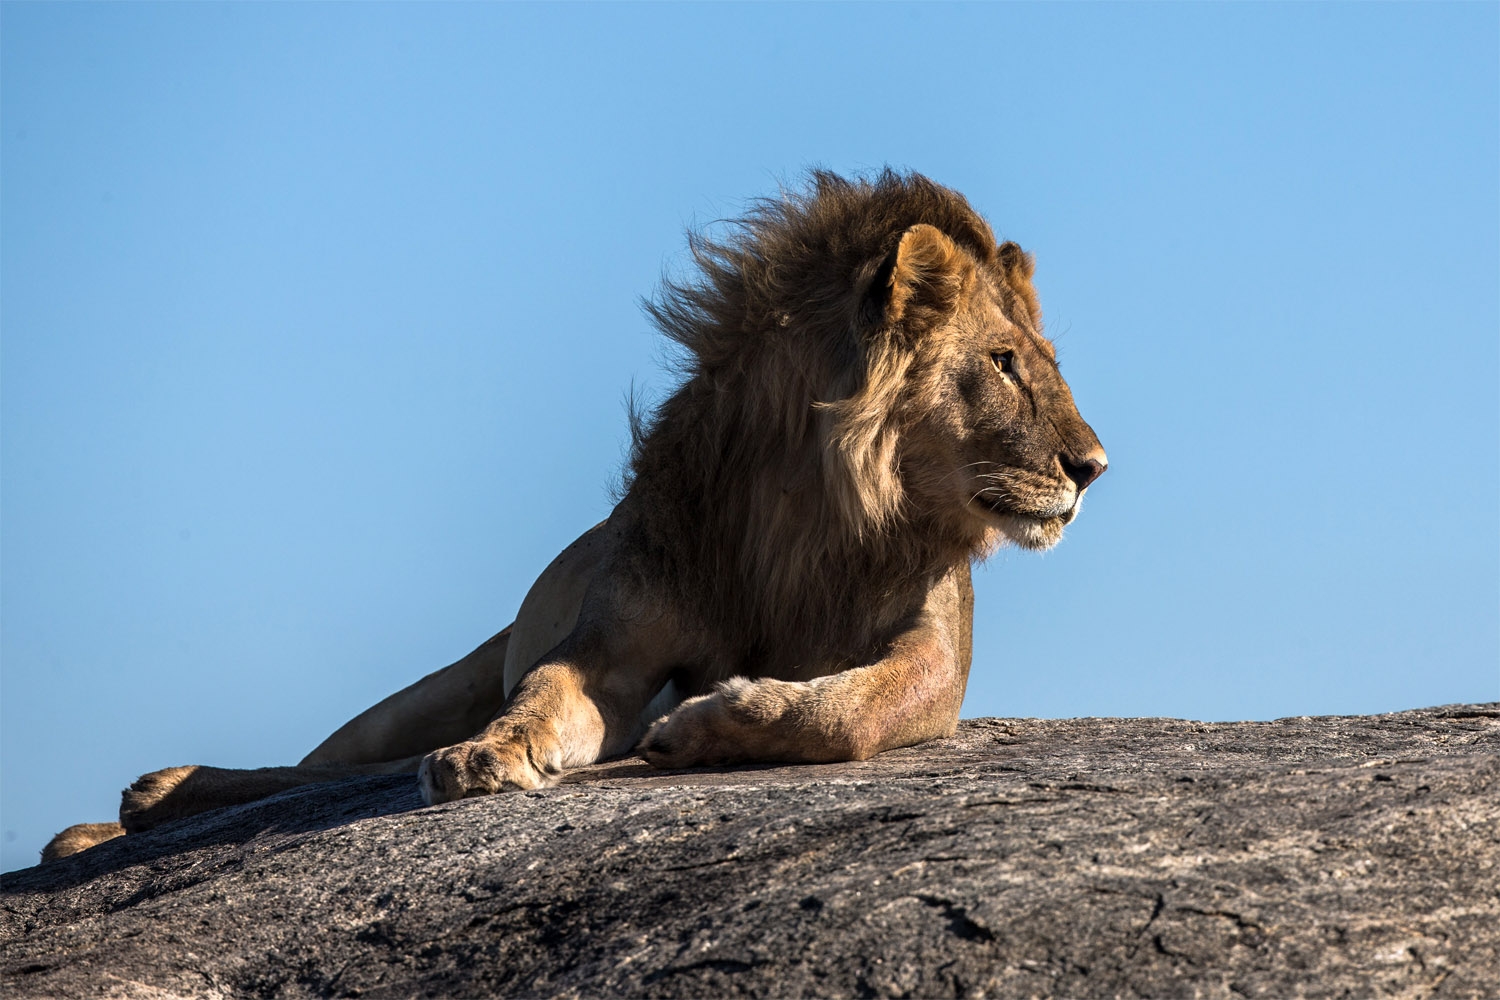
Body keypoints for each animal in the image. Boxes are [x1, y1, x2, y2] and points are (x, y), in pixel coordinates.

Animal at [43, 170, 1104, 863]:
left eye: (1043, 360)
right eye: (1006, 363)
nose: (1093, 467)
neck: (810, 518)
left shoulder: (936, 659)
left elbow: (849, 710)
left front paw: (712, 723)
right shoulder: (611, 647)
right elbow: (547, 691)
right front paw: (490, 754)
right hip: (432, 686)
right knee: (323, 767)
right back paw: (133, 808)